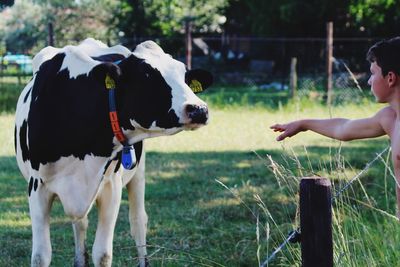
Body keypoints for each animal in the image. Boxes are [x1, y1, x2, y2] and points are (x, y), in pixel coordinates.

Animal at [13, 38, 212, 267]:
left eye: (184, 76)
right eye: (147, 76)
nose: (199, 109)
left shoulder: (110, 186)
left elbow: (103, 253)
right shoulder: (37, 186)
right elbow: (41, 255)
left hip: (138, 171)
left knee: (138, 221)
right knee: (81, 223)